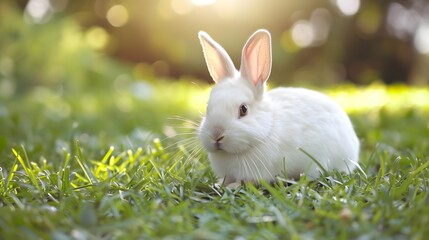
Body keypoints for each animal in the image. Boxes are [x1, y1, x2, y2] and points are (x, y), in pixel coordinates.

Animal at [197, 29, 358, 185]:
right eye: (208, 107)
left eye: (243, 109)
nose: (216, 135)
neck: (267, 130)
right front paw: (219, 184)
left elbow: (246, 182)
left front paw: (232, 186)